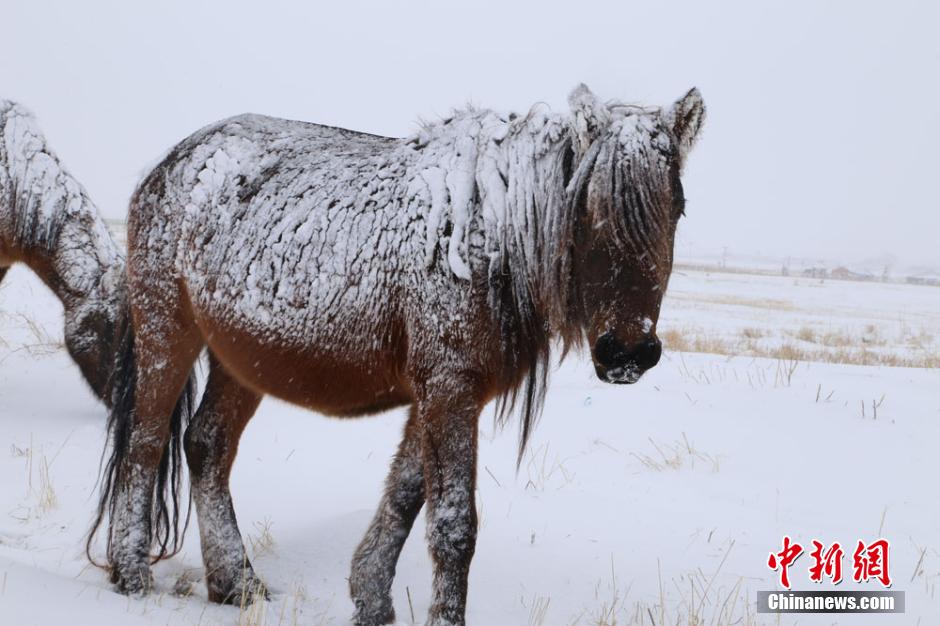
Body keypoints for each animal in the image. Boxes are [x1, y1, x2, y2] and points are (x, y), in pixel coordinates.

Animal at [89, 84, 704, 625]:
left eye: (677, 206)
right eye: (587, 207)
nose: (629, 350)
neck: (490, 238)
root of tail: (167, 164)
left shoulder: (446, 393)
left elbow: (406, 494)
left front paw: (370, 598)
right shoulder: (448, 389)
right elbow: (453, 525)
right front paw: (441, 617)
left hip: (241, 361)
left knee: (206, 446)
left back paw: (235, 583)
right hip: (168, 333)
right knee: (145, 443)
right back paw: (132, 574)